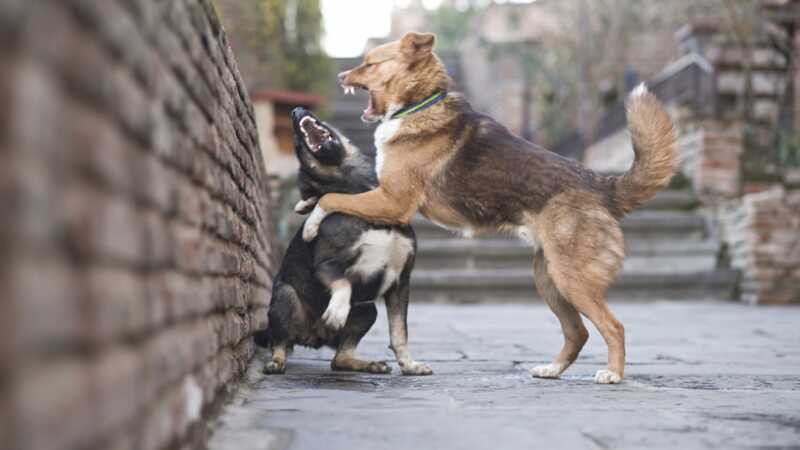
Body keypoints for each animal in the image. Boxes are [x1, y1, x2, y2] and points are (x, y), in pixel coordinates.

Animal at [260, 108, 432, 376]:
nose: (295, 111)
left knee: (339, 358)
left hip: (366, 310)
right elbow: (344, 283)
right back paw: (277, 361)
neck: (364, 199)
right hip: (285, 298)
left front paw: (409, 365)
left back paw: (368, 364)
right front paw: (337, 311)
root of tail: (314, 337)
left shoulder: (400, 282)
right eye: (297, 147)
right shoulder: (327, 264)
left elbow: (399, 332)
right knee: (280, 341)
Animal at [300, 31, 676, 384]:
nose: (341, 76)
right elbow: (330, 196)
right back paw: (552, 370)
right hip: (548, 278)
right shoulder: (384, 197)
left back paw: (613, 373)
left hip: (571, 279)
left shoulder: (393, 201)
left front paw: (311, 224)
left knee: (613, 326)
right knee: (578, 332)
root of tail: (600, 185)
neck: (418, 104)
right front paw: (305, 205)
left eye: (370, 63)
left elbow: (332, 199)